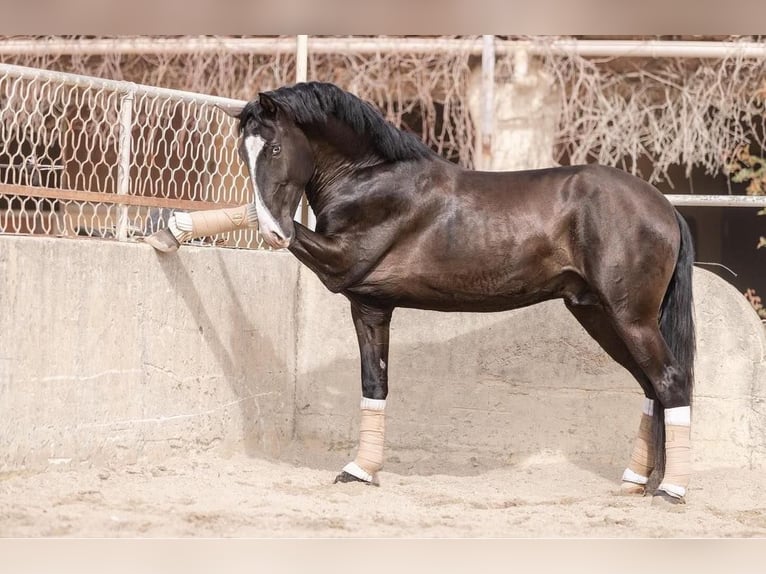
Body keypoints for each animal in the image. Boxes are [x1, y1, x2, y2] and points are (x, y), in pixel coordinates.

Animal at [147, 82, 700, 508]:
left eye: (276, 148)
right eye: (245, 154)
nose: (272, 232)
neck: (370, 178)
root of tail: (665, 207)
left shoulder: (339, 263)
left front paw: (173, 229)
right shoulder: (370, 305)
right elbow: (375, 383)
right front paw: (360, 470)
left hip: (630, 317)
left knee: (670, 381)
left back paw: (671, 491)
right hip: (598, 315)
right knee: (650, 387)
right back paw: (634, 482)